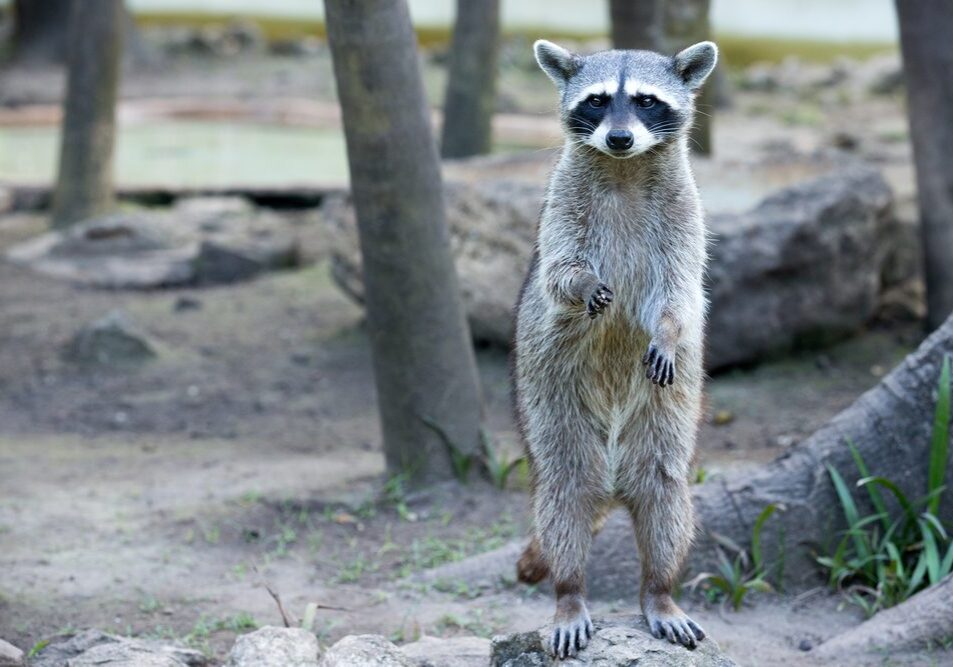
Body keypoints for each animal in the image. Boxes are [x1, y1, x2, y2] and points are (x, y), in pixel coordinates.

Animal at [512, 36, 712, 656]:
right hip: (551, 408)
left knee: (666, 498)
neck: (624, 168)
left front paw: (668, 330)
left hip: (665, 422)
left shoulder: (685, 216)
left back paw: (660, 590)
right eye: (598, 101)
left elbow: (680, 294)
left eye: (646, 102)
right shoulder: (561, 207)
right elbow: (558, 273)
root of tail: (614, 480)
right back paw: (569, 592)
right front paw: (582, 287)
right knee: (564, 499)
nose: (620, 137)